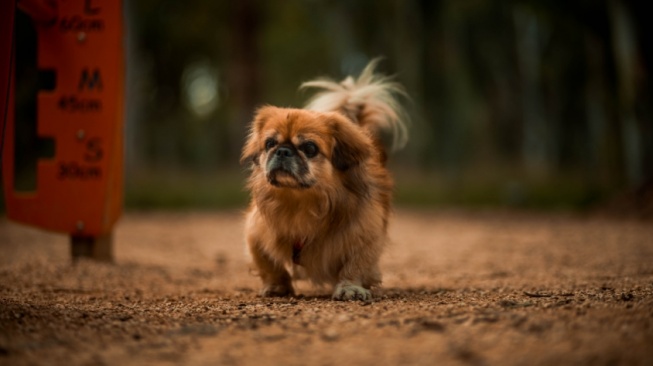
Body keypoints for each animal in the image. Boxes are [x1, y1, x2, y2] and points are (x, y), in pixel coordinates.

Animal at [239, 59, 408, 300]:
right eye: (270, 143)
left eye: (309, 148)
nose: (282, 151)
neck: (299, 202)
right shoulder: (255, 233)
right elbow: (268, 264)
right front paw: (276, 286)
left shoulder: (366, 233)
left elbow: (356, 265)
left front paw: (349, 288)